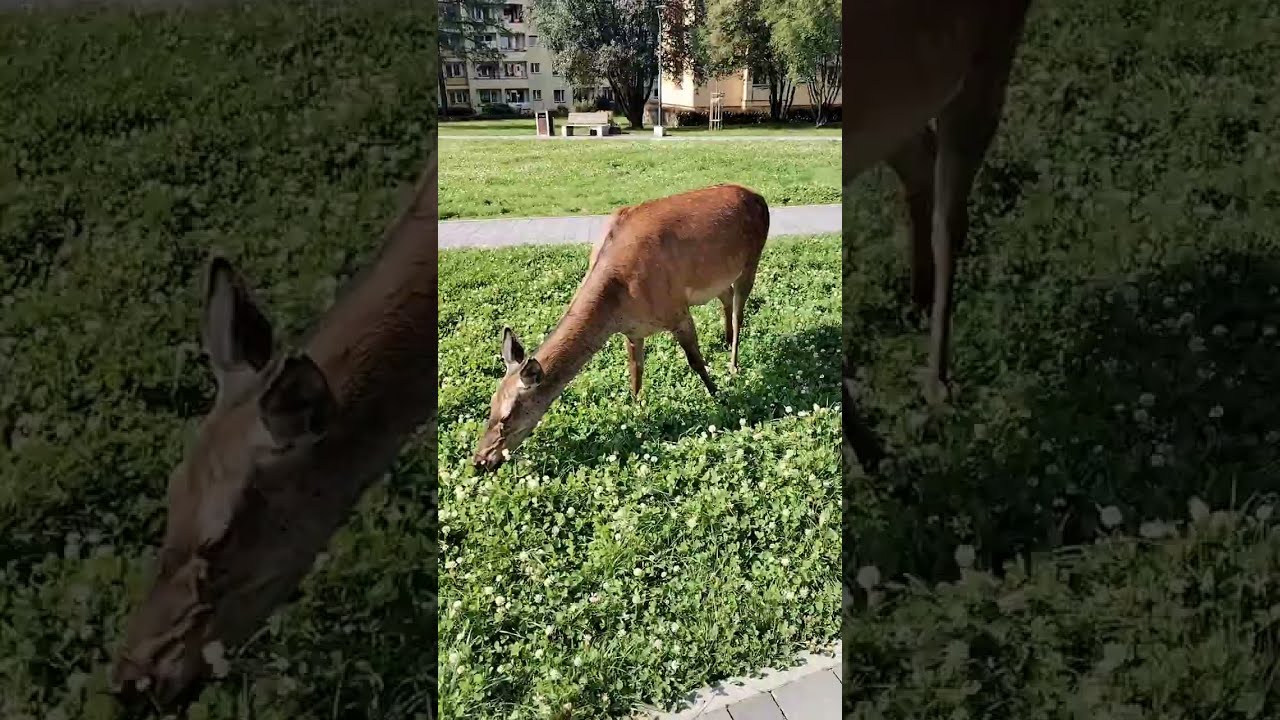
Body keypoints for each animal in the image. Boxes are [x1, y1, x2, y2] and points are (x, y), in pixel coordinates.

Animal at [471, 184, 770, 472]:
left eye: (507, 416)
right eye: (490, 406)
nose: (480, 460)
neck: (618, 298)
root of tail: (758, 197)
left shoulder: (677, 310)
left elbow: (695, 362)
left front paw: (719, 397)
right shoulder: (632, 330)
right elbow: (635, 374)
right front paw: (637, 415)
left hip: (752, 259)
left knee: (739, 311)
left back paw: (733, 364)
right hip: (720, 276)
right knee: (726, 297)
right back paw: (725, 341)